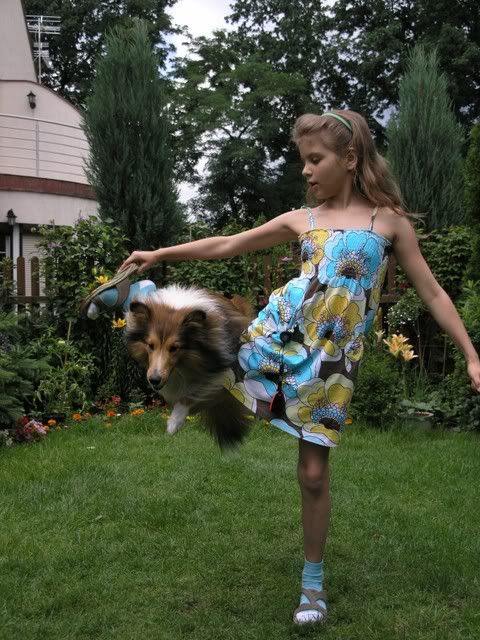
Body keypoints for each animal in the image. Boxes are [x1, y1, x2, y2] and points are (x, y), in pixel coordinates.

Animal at [125, 285, 255, 448]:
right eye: (150, 345)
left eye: (174, 348)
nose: (154, 379)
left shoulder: (224, 371)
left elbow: (193, 393)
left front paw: (174, 422)